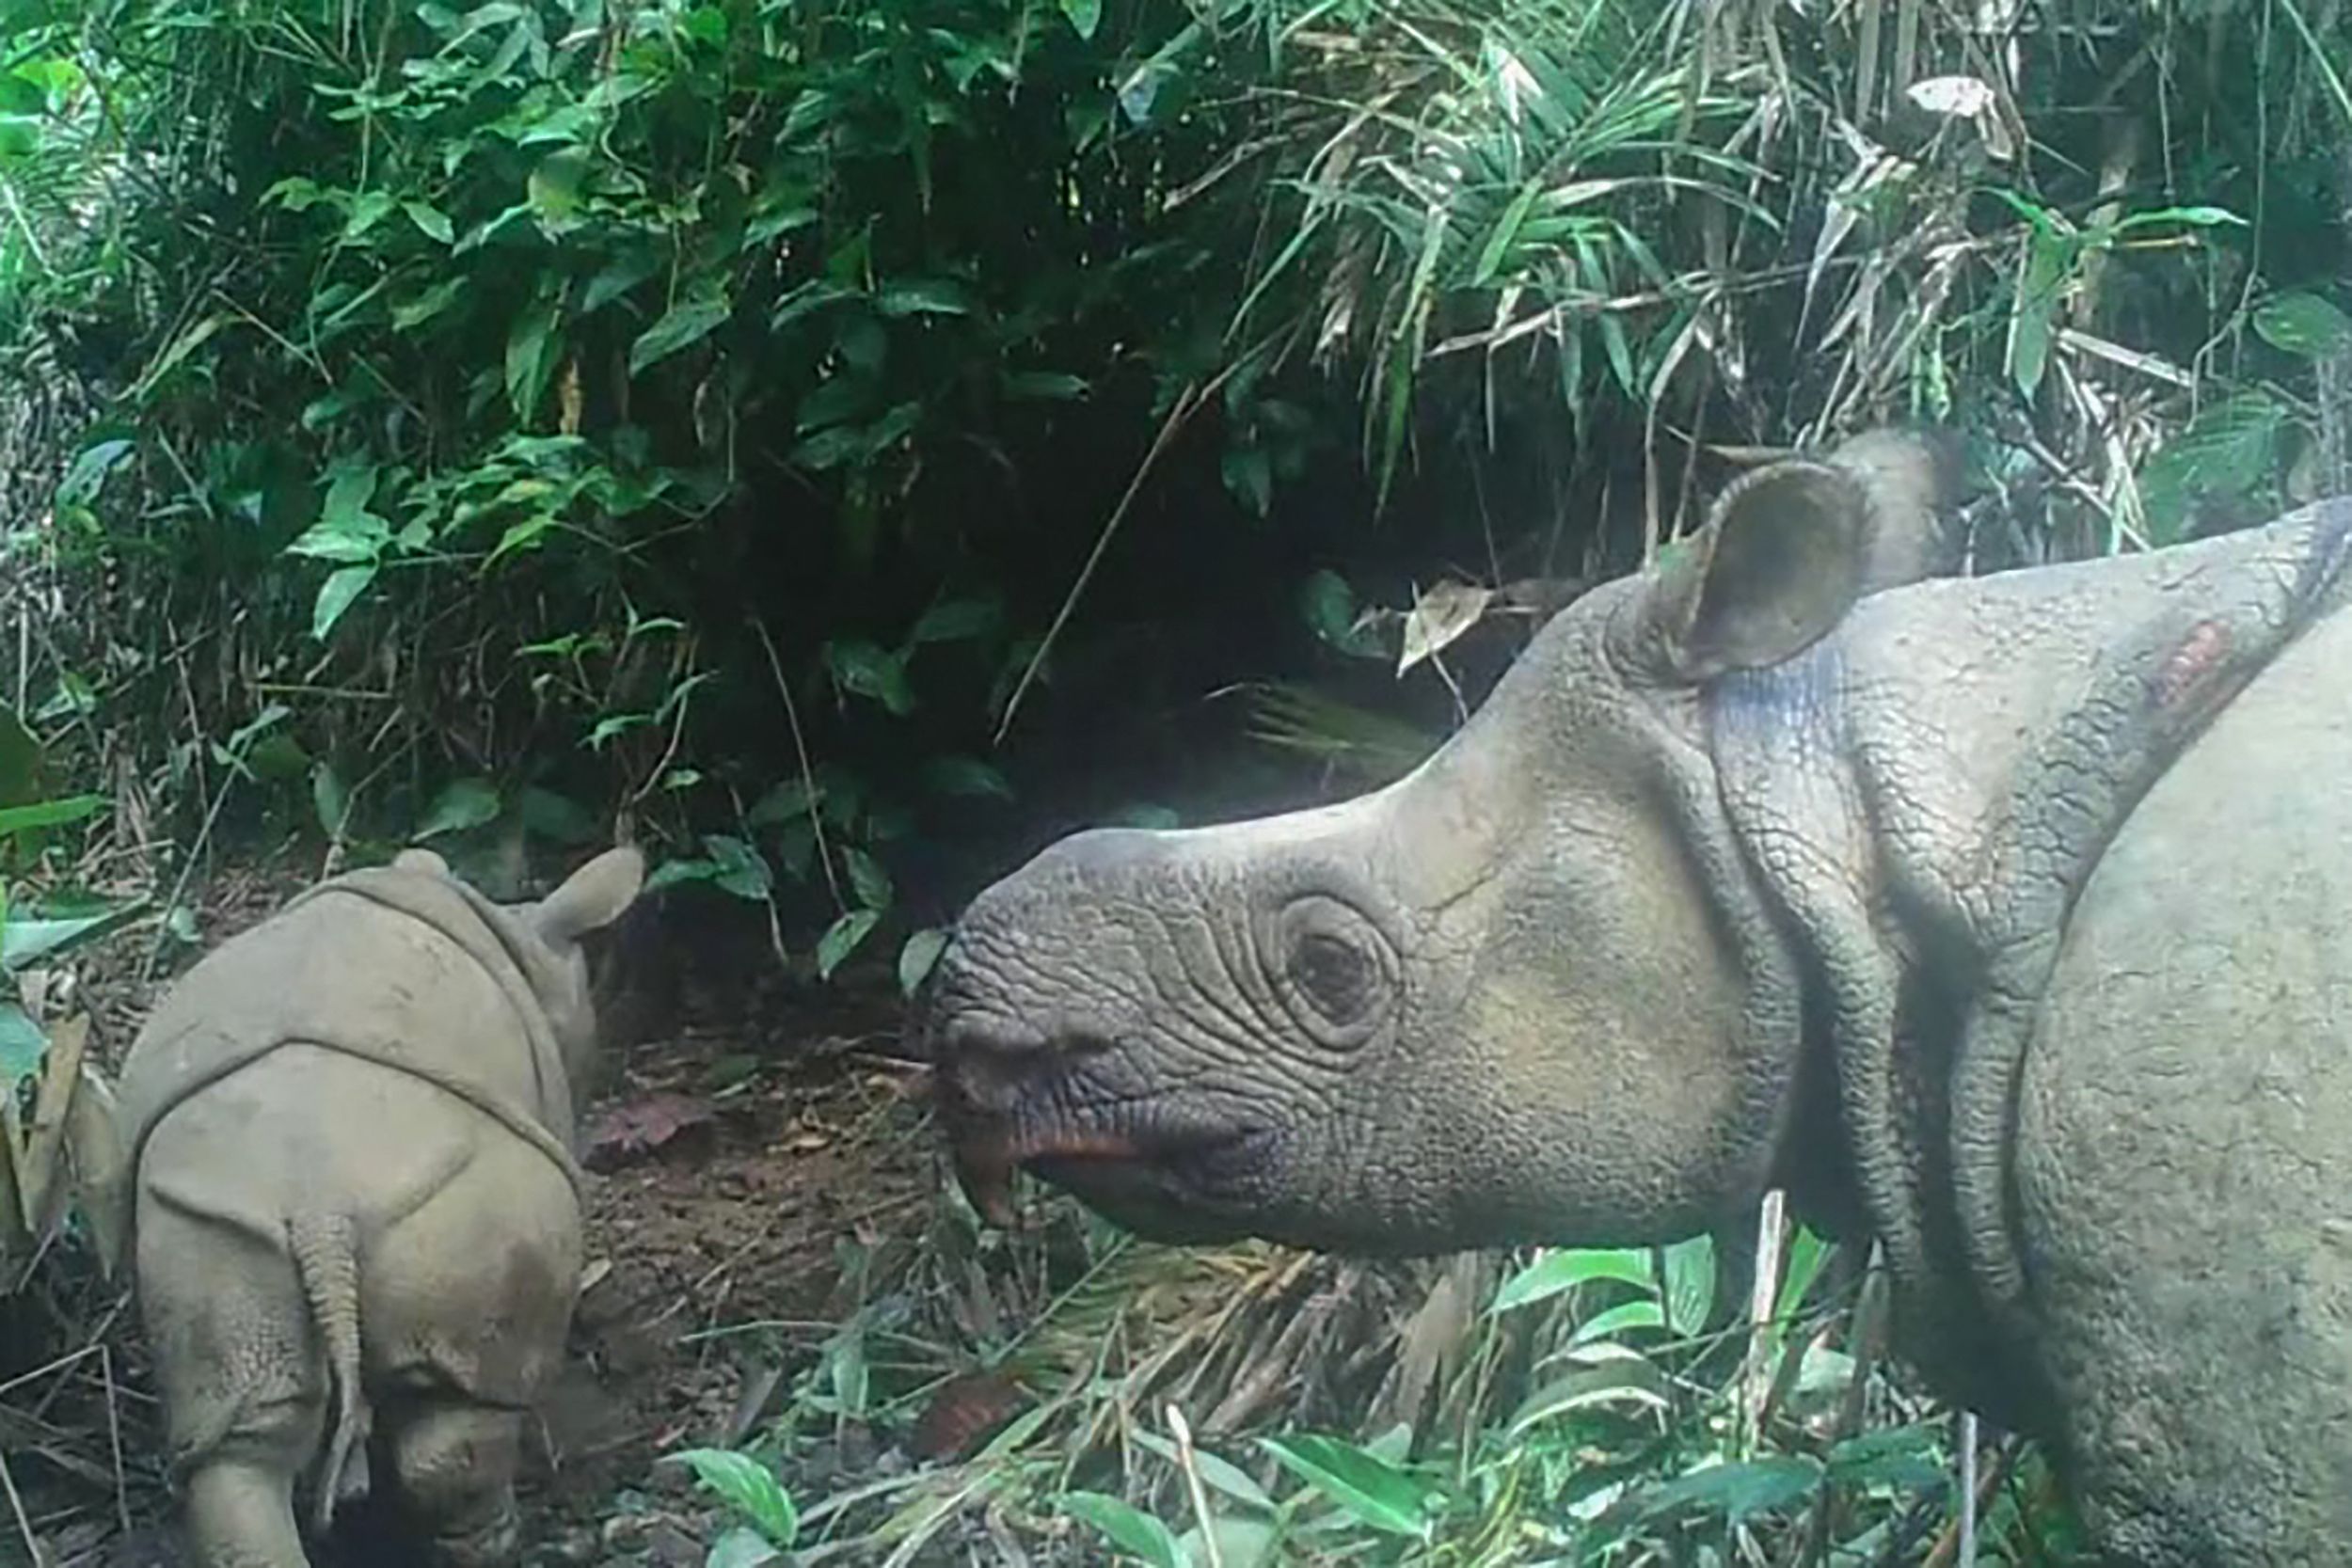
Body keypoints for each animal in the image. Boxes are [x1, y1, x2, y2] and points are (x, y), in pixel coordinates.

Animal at [114, 846, 640, 1568]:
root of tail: (318, 1207)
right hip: (459, 1211)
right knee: (464, 1404)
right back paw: (500, 1540)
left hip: (207, 1231)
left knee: (242, 1443)